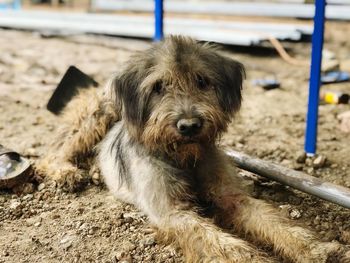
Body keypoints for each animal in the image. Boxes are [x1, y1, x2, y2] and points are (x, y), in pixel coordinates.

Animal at [36, 36, 350, 262]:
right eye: (158, 86)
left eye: (202, 81)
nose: (189, 126)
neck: (183, 157)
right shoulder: (172, 213)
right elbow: (222, 243)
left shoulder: (232, 197)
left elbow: (273, 221)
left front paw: (317, 250)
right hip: (98, 112)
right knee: (52, 153)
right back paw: (65, 173)